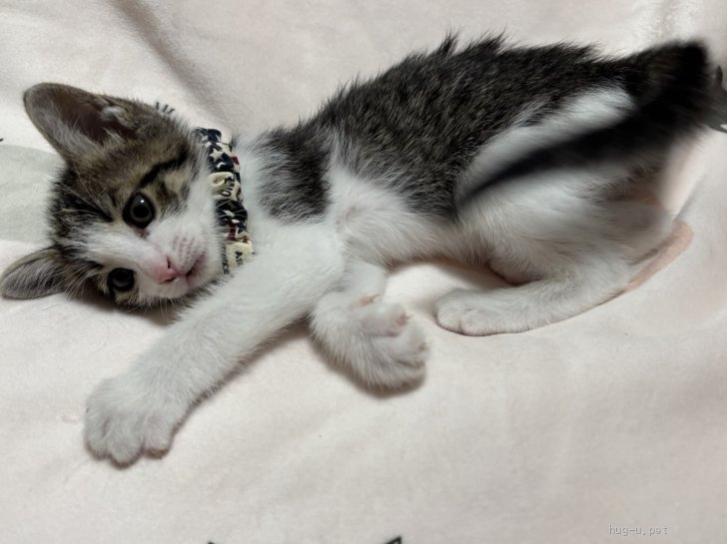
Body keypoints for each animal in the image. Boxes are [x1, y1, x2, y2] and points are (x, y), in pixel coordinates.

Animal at [0, 36, 713, 465]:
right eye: (120, 282)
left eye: (140, 209)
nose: (165, 271)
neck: (237, 198)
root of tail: (619, 72)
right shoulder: (342, 253)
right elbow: (333, 298)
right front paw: (376, 341)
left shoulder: (299, 237)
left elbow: (215, 321)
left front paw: (134, 401)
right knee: (646, 227)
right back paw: (659, 236)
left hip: (511, 172)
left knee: (604, 268)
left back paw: (488, 308)